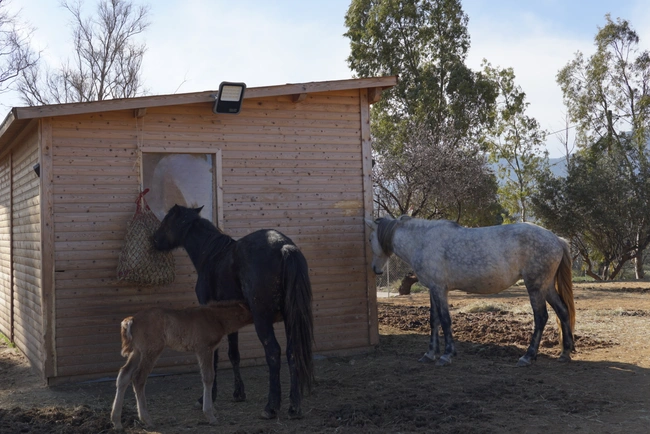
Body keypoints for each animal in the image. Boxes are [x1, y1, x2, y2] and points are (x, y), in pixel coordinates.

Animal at [110, 301, 253, 429]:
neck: (215, 318)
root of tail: (132, 319)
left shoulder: (210, 350)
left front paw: (212, 410)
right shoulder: (204, 348)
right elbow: (208, 377)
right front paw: (210, 415)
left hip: (137, 351)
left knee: (124, 375)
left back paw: (117, 422)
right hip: (151, 350)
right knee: (138, 377)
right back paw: (147, 420)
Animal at [153, 205, 314, 419]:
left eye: (166, 221)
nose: (153, 240)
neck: (211, 256)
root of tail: (284, 247)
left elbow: (213, 357)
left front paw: (207, 398)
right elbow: (233, 354)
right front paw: (238, 393)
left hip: (263, 319)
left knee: (273, 352)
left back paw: (271, 407)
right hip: (290, 319)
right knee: (292, 352)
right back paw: (294, 407)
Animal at [365, 215, 575, 367]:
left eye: (369, 238)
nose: (375, 269)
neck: (422, 241)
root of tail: (557, 239)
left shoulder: (440, 289)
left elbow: (445, 320)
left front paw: (446, 355)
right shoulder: (434, 289)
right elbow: (434, 320)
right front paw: (430, 354)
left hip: (535, 287)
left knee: (541, 317)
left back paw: (527, 356)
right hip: (547, 286)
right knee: (563, 311)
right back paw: (565, 353)